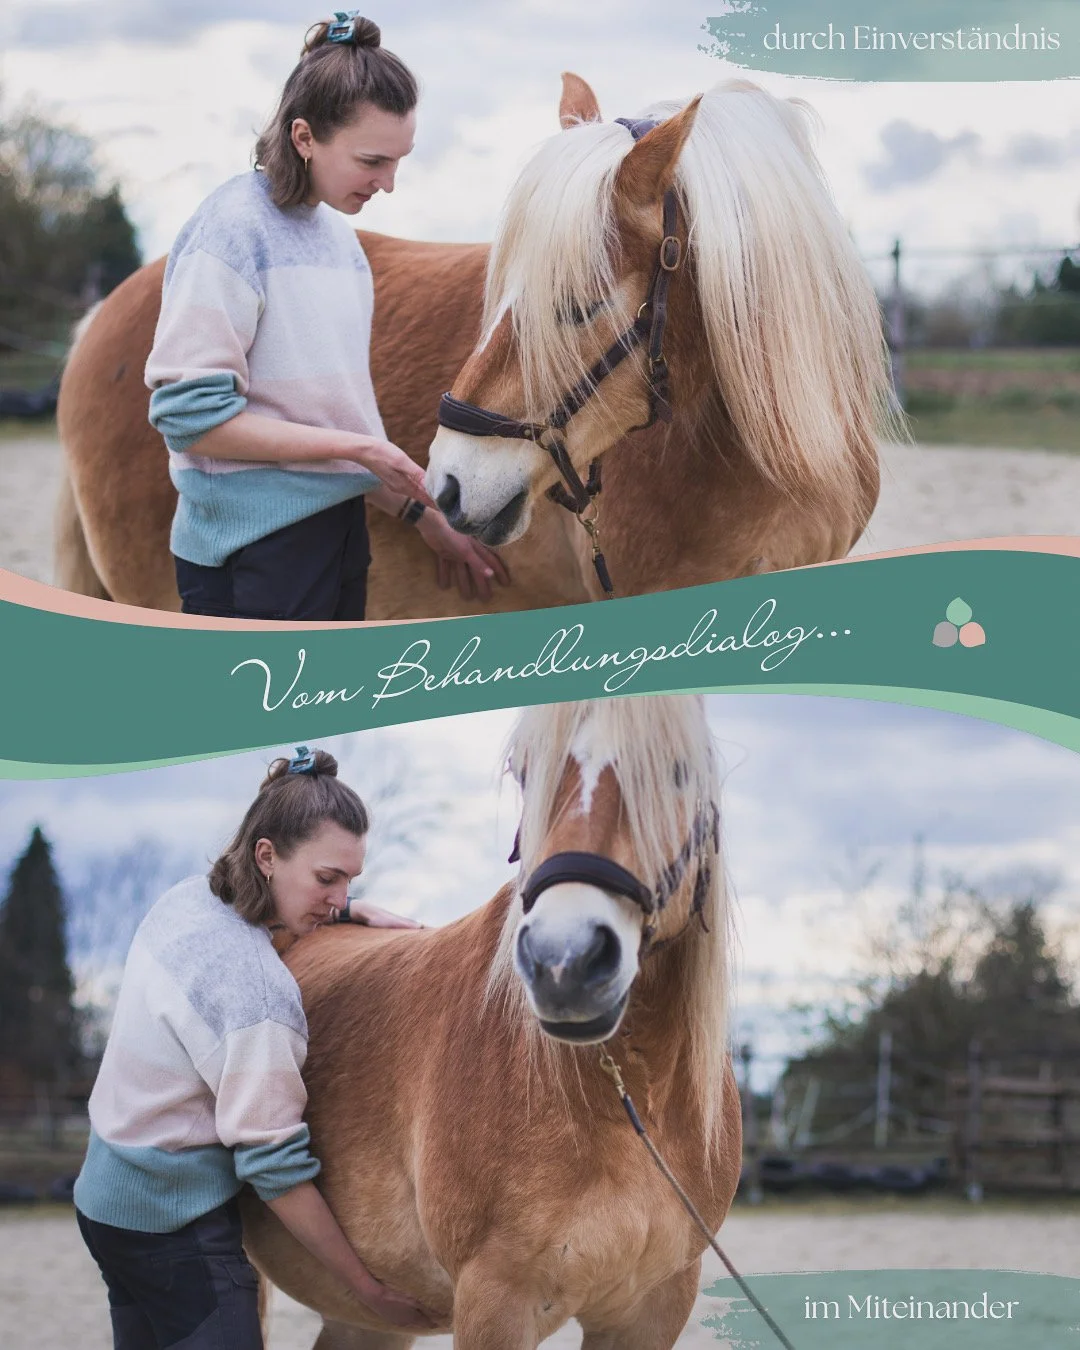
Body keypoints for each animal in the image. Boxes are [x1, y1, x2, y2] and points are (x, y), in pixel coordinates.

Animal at [240, 694, 741, 1348]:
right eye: (526, 773)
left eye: (679, 769)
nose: (563, 961)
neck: (630, 1101)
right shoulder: (494, 1301)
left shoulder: (652, 1308)